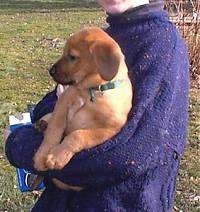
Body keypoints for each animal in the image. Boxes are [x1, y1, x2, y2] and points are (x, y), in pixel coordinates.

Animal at [33, 27, 133, 171]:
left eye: (72, 57)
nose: (50, 71)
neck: (91, 91)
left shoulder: (110, 129)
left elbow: (77, 135)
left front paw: (57, 157)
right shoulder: (62, 104)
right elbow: (53, 131)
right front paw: (41, 156)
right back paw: (42, 123)